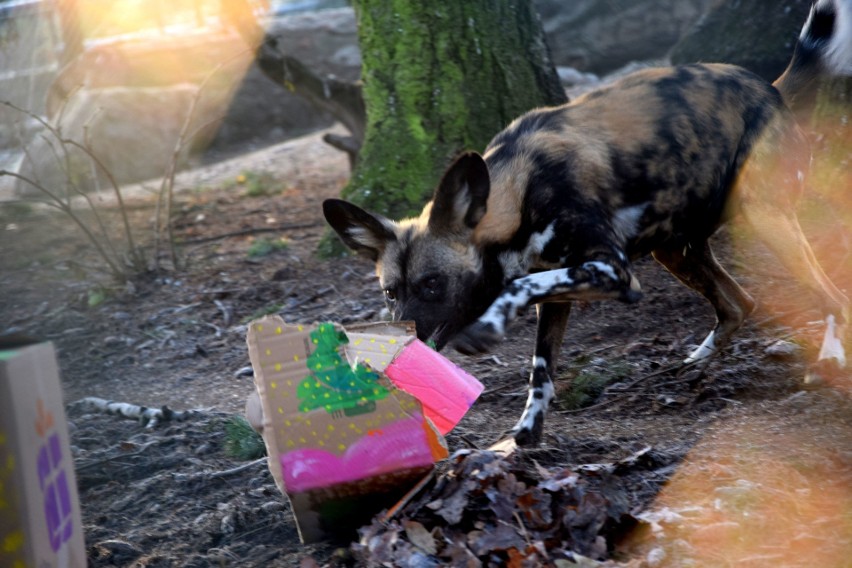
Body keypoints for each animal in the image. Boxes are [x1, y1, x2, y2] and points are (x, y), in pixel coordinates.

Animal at [324, 0, 852, 444]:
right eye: (390, 292)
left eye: (433, 284)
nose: (401, 344)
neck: (520, 195)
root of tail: (769, 87)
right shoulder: (558, 291)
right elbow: (540, 367)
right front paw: (525, 436)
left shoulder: (612, 272)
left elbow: (514, 291)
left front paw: (485, 332)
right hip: (675, 250)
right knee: (739, 303)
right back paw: (697, 362)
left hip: (766, 220)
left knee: (830, 294)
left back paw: (828, 360)